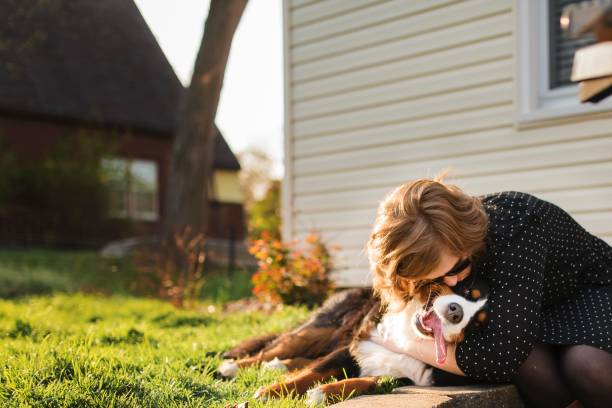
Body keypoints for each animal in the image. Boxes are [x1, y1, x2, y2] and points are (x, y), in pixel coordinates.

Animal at [218, 274, 490, 404]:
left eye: (478, 323)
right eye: (466, 291)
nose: (456, 312)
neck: (409, 337)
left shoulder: (403, 375)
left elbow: (365, 382)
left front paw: (322, 393)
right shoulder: (354, 346)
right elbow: (314, 371)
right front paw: (271, 392)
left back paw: (276, 366)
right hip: (319, 329)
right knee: (274, 348)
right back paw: (232, 367)